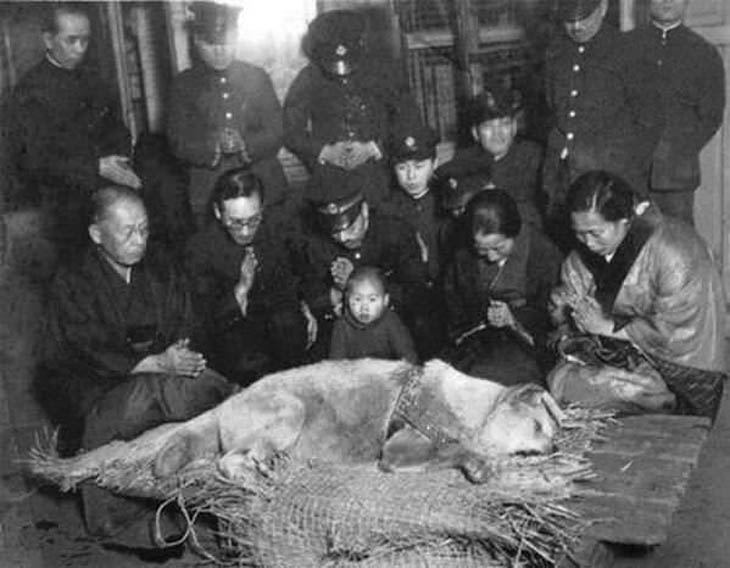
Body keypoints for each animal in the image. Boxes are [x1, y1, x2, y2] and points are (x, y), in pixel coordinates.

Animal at [154, 360, 564, 484]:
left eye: (550, 429)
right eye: (537, 427)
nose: (556, 447)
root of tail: (224, 405)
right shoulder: (398, 450)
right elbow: (455, 448)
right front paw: (480, 463)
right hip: (290, 410)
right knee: (227, 461)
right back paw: (253, 474)